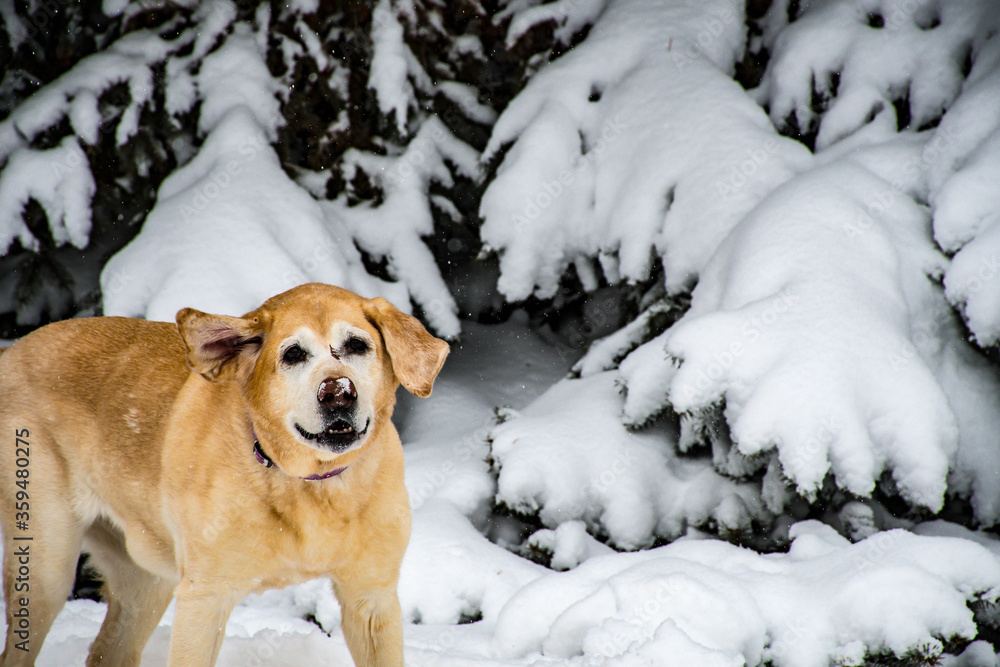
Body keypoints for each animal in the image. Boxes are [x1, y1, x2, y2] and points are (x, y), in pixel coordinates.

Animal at [0, 283, 449, 666]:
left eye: (357, 345)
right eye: (293, 355)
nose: (338, 392)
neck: (309, 484)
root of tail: (12, 352)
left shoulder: (371, 598)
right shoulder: (205, 598)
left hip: (147, 581)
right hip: (47, 566)